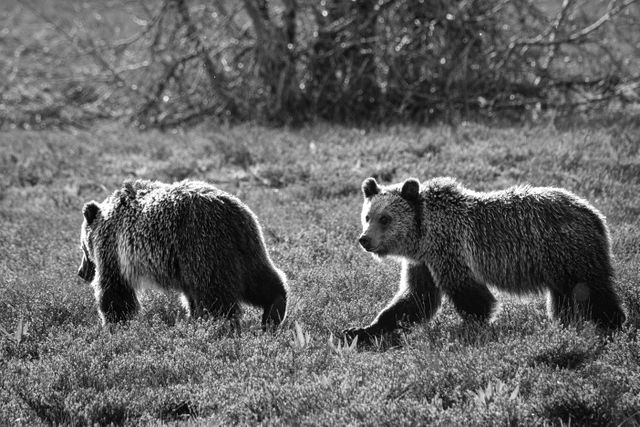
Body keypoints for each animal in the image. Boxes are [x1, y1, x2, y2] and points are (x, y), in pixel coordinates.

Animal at [77, 178, 288, 332]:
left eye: (82, 248)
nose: (81, 272)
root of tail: (234, 213)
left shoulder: (113, 250)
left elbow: (114, 289)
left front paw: (114, 323)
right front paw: (192, 317)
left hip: (204, 245)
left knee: (215, 294)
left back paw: (218, 327)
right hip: (246, 247)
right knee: (260, 279)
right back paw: (273, 314)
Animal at [344, 176, 624, 342]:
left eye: (385, 218)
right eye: (367, 216)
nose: (364, 239)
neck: (423, 235)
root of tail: (594, 213)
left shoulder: (450, 250)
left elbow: (472, 296)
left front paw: (470, 328)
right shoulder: (422, 262)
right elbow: (416, 298)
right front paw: (360, 330)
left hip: (569, 251)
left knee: (592, 291)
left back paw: (612, 325)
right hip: (557, 264)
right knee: (565, 298)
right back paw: (565, 325)